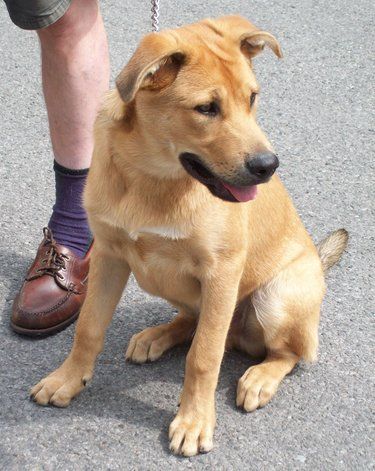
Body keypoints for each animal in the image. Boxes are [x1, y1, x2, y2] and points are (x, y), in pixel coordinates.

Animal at [30, 16, 350, 456]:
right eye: (206, 108)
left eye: (252, 98)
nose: (268, 166)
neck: (153, 176)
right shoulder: (110, 256)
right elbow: (88, 328)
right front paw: (67, 378)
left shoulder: (222, 272)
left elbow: (204, 356)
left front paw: (194, 421)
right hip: (169, 282)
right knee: (196, 321)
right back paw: (159, 335)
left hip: (277, 296)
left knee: (285, 351)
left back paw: (260, 376)